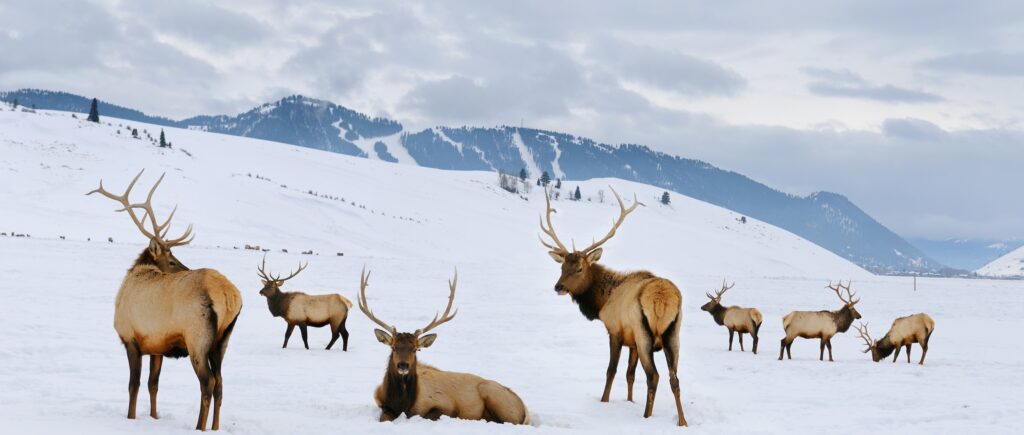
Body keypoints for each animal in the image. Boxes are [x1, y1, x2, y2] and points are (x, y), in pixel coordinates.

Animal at [87, 170, 242, 431]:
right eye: (171, 261)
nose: (185, 268)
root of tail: (230, 296)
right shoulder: (156, 346)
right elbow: (153, 384)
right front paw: (154, 417)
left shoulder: (130, 338)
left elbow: (133, 385)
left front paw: (131, 418)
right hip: (222, 340)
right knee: (220, 383)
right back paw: (214, 427)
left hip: (197, 338)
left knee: (208, 382)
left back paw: (199, 427)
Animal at [358, 268, 530, 425]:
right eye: (393, 348)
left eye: (415, 349)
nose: (403, 365)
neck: (402, 404)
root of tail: (524, 408)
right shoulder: (383, 403)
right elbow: (383, 417)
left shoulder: (445, 405)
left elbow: (429, 415)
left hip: (494, 396)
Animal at [539, 188, 687, 426]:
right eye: (562, 267)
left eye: (579, 268)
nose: (558, 286)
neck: (602, 302)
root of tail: (662, 299)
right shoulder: (632, 342)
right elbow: (630, 374)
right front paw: (629, 401)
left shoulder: (615, 331)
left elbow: (612, 370)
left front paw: (604, 401)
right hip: (673, 334)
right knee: (674, 378)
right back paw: (682, 422)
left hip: (645, 334)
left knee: (653, 376)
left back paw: (647, 417)